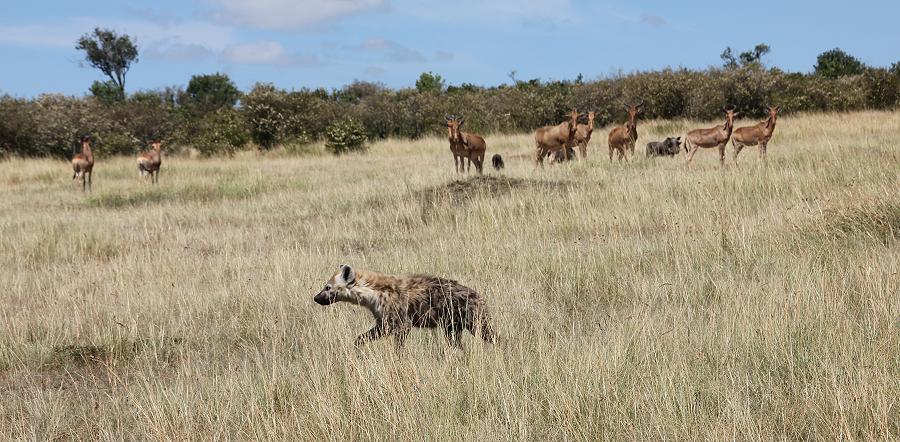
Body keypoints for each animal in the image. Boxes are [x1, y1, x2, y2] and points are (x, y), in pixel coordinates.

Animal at [314, 264, 500, 350]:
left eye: (327, 287)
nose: (315, 298)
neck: (372, 293)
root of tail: (480, 297)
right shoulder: (384, 323)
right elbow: (362, 337)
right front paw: (357, 348)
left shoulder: (401, 322)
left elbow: (399, 345)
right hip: (452, 327)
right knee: (457, 344)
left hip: (476, 323)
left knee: (494, 337)